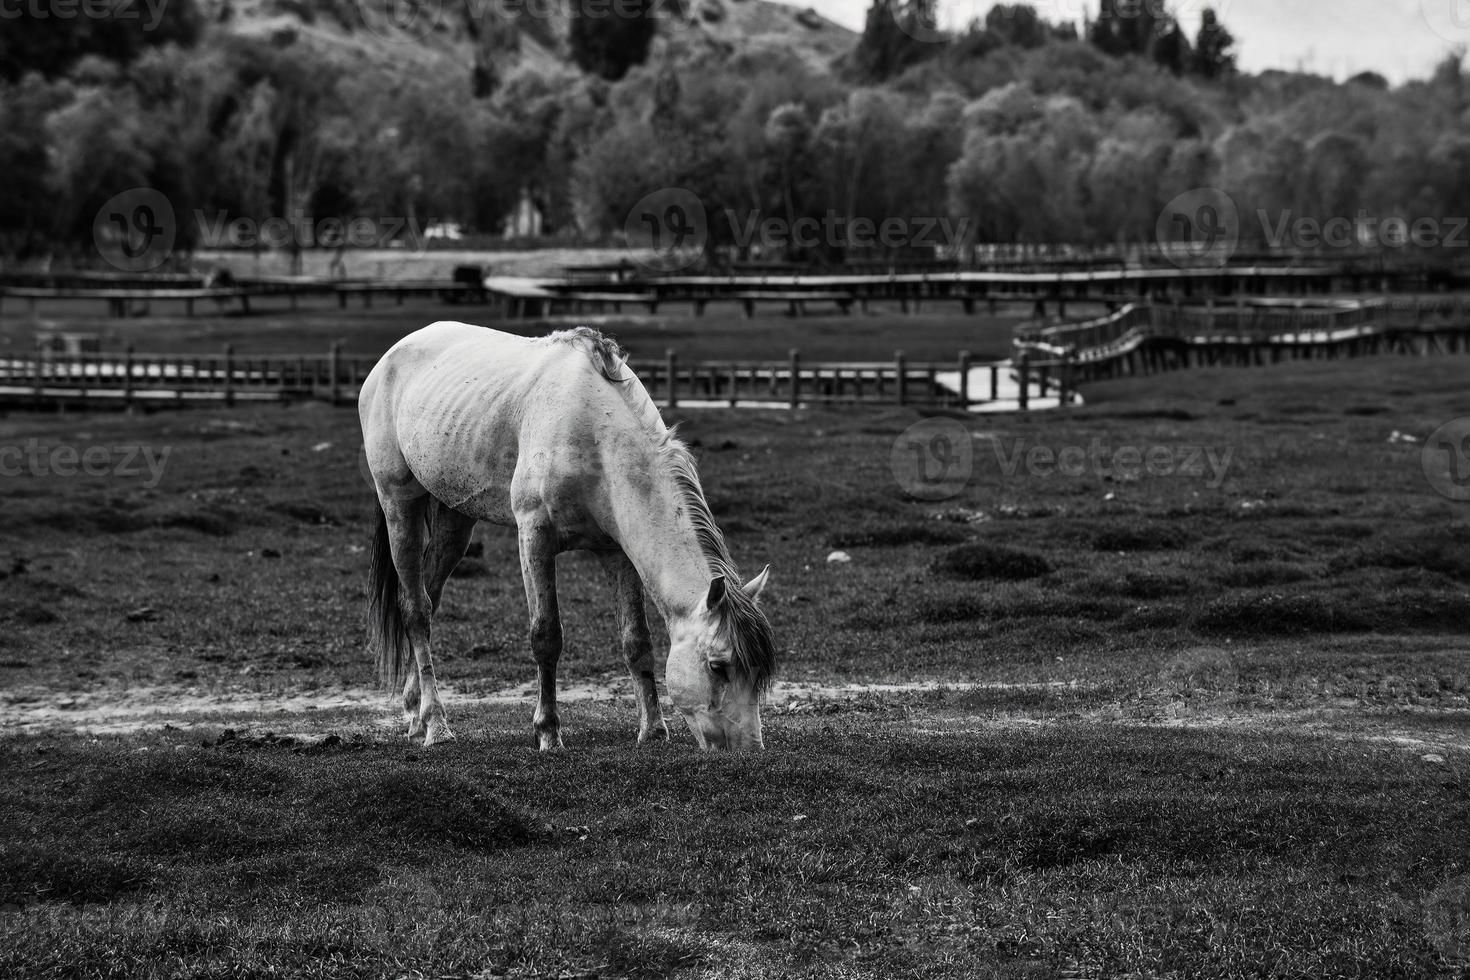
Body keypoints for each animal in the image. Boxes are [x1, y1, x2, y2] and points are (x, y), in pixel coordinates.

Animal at [360, 321, 776, 752]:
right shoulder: (534, 537)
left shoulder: (616, 552)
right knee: (416, 610)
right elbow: (546, 636)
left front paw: (652, 730)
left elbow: (637, 641)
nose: (749, 750)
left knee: (429, 597)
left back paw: (415, 715)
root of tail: (393, 354)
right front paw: (548, 733)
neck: (594, 434)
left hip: (454, 521)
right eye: (718, 666)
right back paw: (436, 725)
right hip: (399, 505)